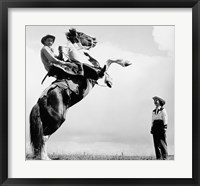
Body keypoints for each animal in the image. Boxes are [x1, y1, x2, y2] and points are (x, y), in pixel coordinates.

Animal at [29, 28, 131, 160]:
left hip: (48, 121)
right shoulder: (97, 73)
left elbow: (101, 63)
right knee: (43, 137)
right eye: (82, 34)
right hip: (57, 120)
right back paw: (45, 158)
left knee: (42, 138)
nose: (94, 39)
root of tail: (40, 101)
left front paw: (109, 81)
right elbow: (107, 63)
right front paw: (125, 62)